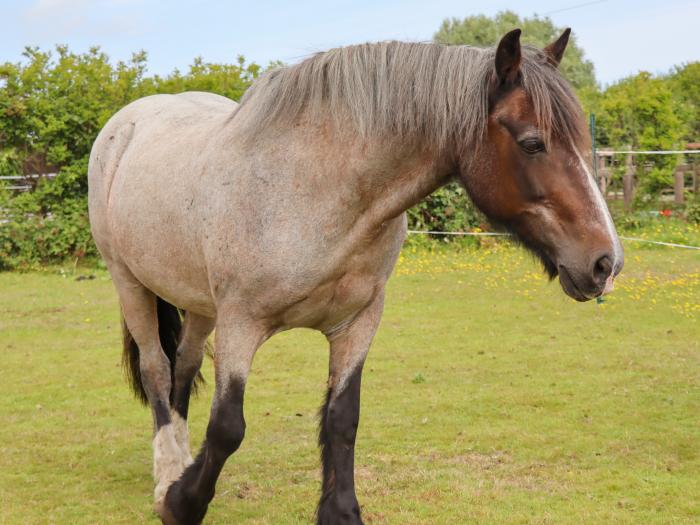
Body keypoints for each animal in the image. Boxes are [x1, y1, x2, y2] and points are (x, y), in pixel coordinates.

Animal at [89, 29, 624, 524]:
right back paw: (167, 473)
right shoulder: (241, 321)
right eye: (533, 143)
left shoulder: (357, 322)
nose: (606, 263)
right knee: (157, 370)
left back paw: (178, 461)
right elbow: (227, 427)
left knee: (183, 365)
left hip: (199, 303)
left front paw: (341, 511)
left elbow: (343, 418)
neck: (315, 191)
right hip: (129, 283)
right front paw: (180, 502)